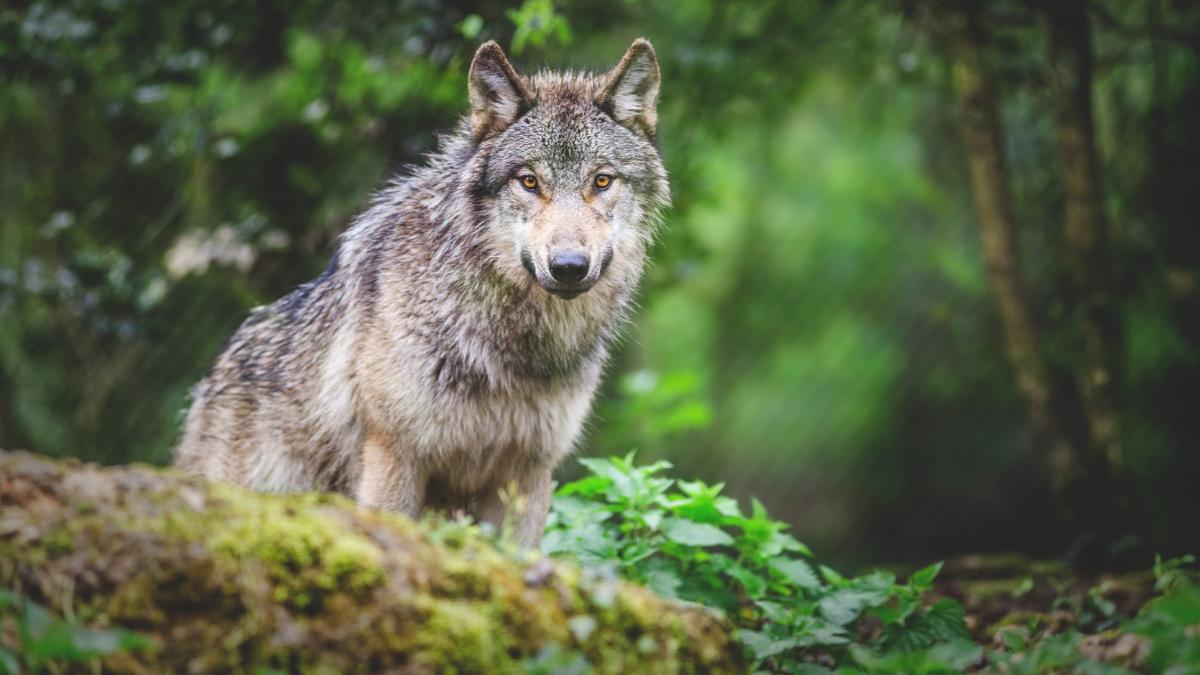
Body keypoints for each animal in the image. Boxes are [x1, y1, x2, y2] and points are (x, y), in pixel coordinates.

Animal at [173, 39, 669, 547]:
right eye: (529, 181)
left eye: (602, 181)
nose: (568, 267)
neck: (509, 348)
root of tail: (213, 377)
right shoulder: (394, 456)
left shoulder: (528, 474)